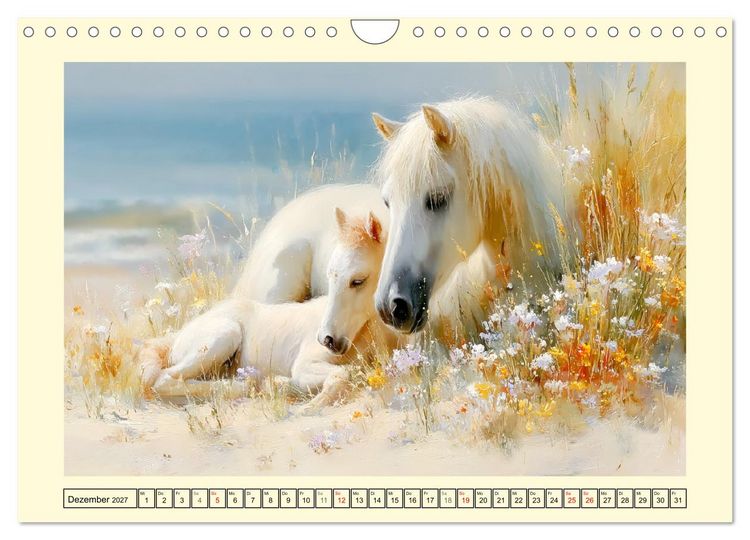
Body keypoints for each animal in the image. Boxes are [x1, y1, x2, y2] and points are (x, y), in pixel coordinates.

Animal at [139, 208, 401, 410]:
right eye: (330, 275)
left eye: (358, 280)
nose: (327, 340)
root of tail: (177, 338)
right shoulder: (304, 365)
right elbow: (341, 375)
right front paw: (308, 406)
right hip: (223, 336)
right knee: (164, 379)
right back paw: (244, 384)